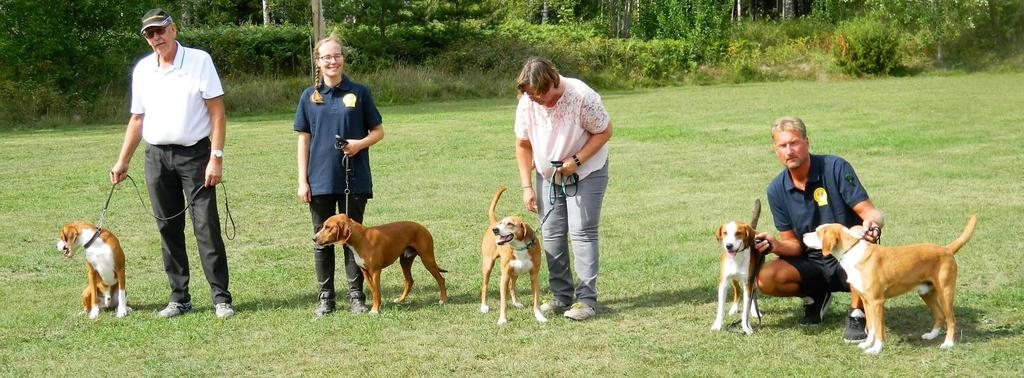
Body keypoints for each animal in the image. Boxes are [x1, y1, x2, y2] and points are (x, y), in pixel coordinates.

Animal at [311, 213, 448, 313]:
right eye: (323, 226)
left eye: (328, 227)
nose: (314, 238)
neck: (361, 239)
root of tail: (422, 227)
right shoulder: (365, 272)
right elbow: (374, 292)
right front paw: (377, 306)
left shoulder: (375, 271)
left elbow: (376, 292)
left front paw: (375, 310)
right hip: (405, 261)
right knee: (409, 281)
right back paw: (400, 299)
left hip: (427, 259)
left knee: (441, 279)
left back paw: (443, 300)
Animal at [477, 186, 544, 323]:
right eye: (502, 223)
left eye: (510, 224)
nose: (496, 230)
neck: (520, 248)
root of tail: (493, 222)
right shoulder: (505, 276)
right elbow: (503, 302)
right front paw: (502, 319)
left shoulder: (534, 276)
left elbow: (536, 300)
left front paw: (539, 316)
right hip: (488, 265)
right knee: (485, 286)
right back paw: (484, 306)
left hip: (515, 272)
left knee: (512, 286)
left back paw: (516, 302)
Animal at [802, 215, 978, 352]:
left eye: (817, 232)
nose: (803, 235)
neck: (852, 253)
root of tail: (946, 249)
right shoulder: (867, 301)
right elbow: (871, 327)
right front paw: (867, 344)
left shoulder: (877, 302)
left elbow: (879, 330)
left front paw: (876, 349)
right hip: (925, 292)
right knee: (940, 316)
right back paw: (932, 335)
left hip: (946, 293)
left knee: (951, 320)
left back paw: (948, 344)